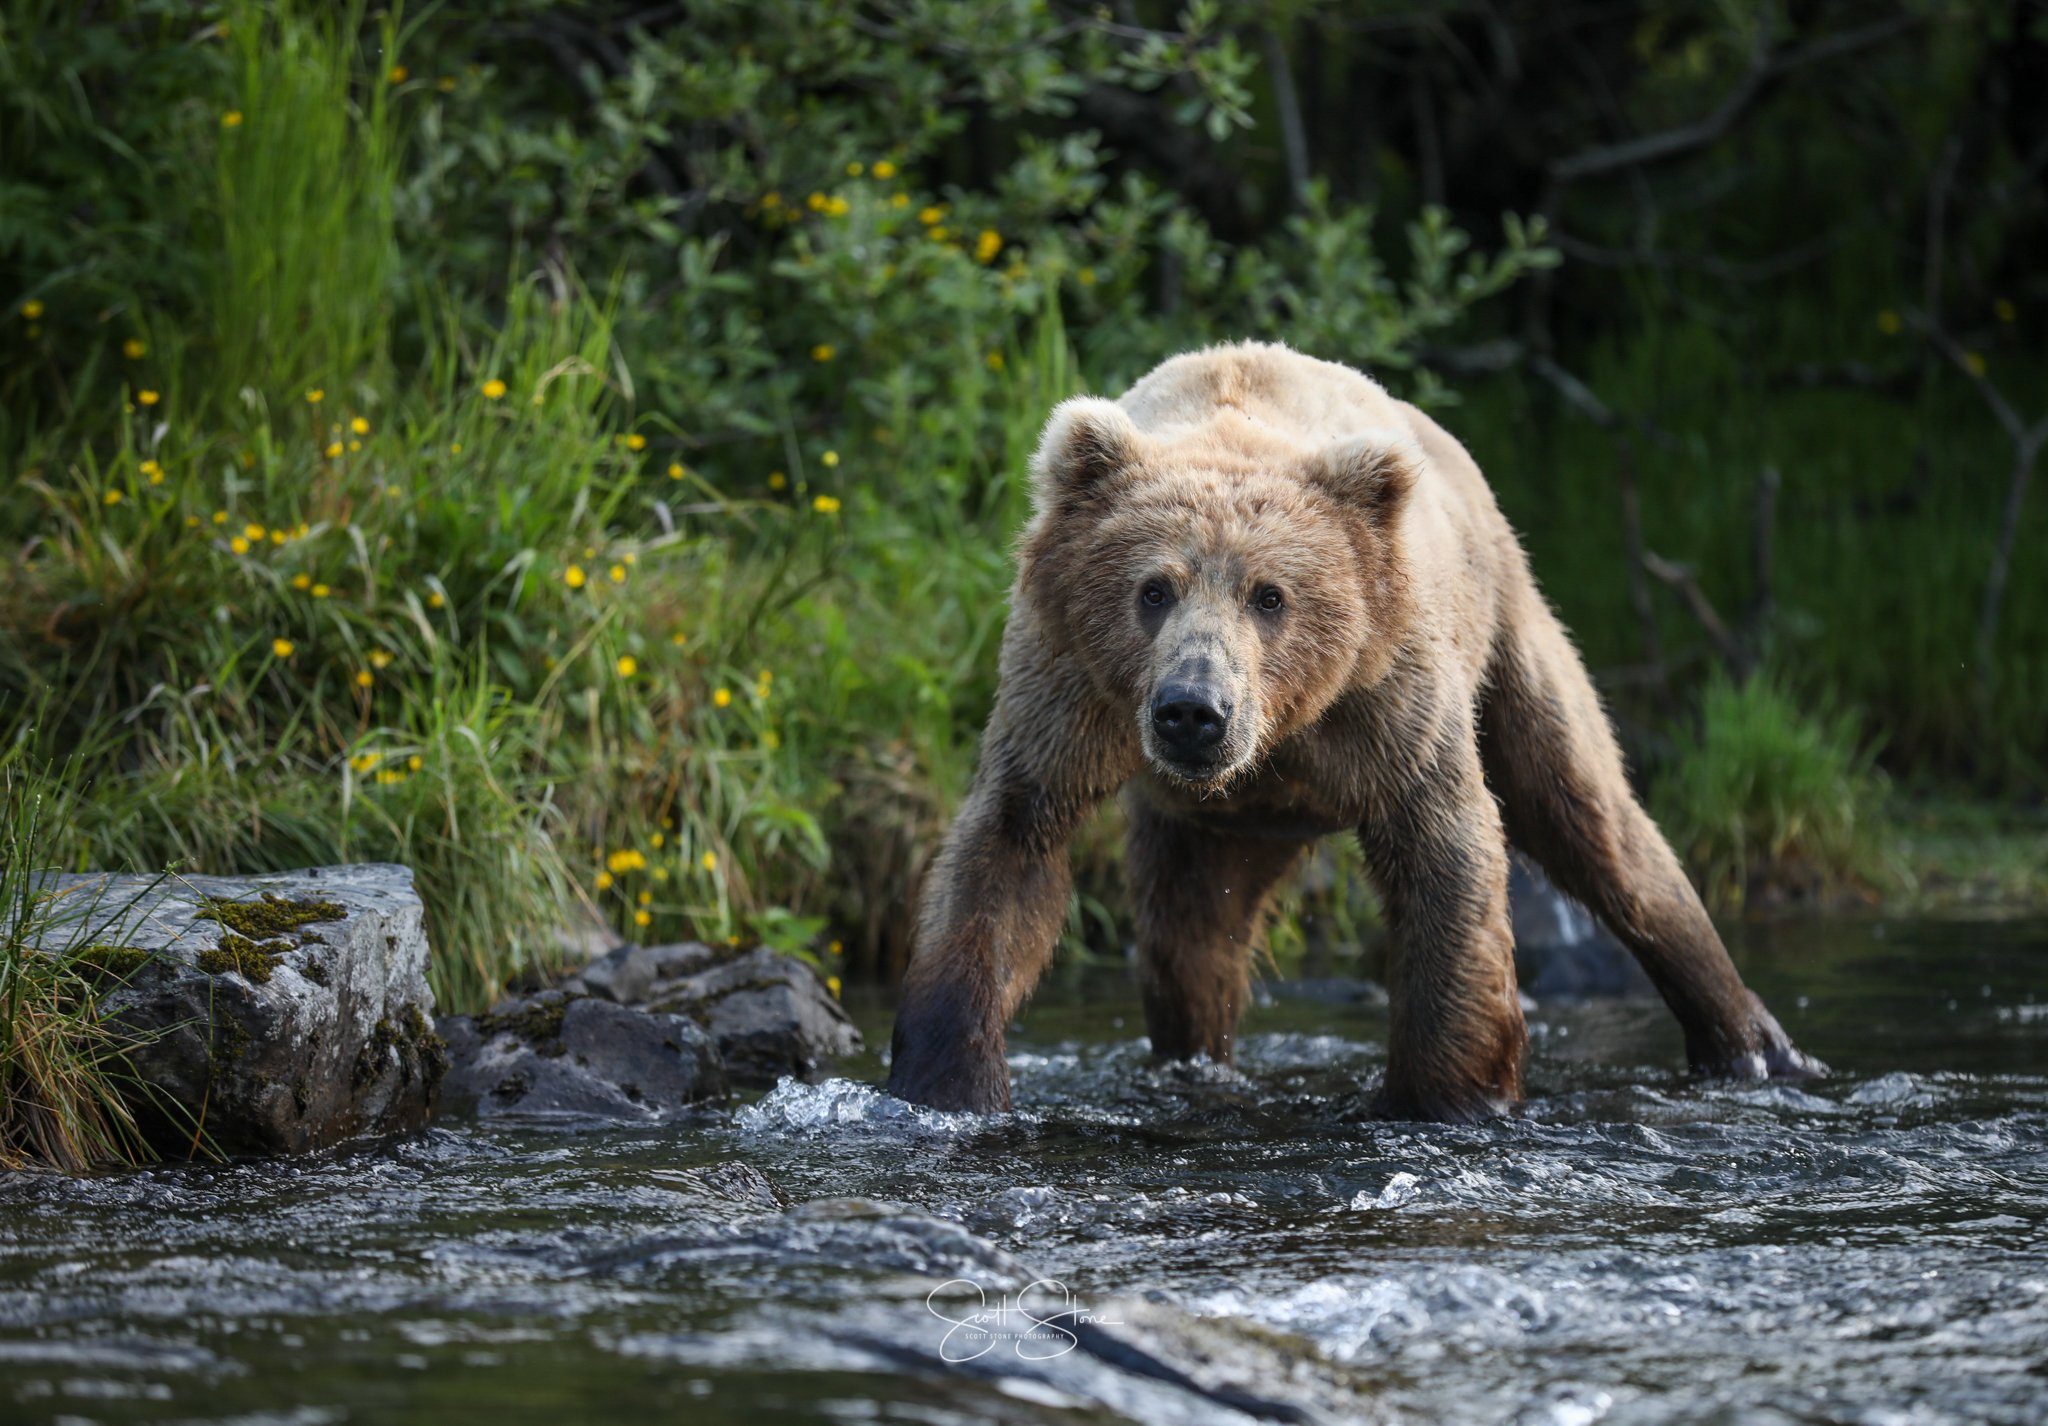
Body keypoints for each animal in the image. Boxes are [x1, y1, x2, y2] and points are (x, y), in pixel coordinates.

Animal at [886, 341, 1824, 1121]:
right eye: (1153, 589)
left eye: (1270, 595)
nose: (1194, 709)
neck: (1286, 730)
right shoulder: (1066, 691)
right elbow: (1010, 852)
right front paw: (947, 1085)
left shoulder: (1387, 694)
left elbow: (1447, 852)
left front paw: (1447, 1098)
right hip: (1208, 833)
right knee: (1189, 943)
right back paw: (1195, 1064)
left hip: (1509, 631)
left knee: (1595, 820)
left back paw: (1753, 1043)